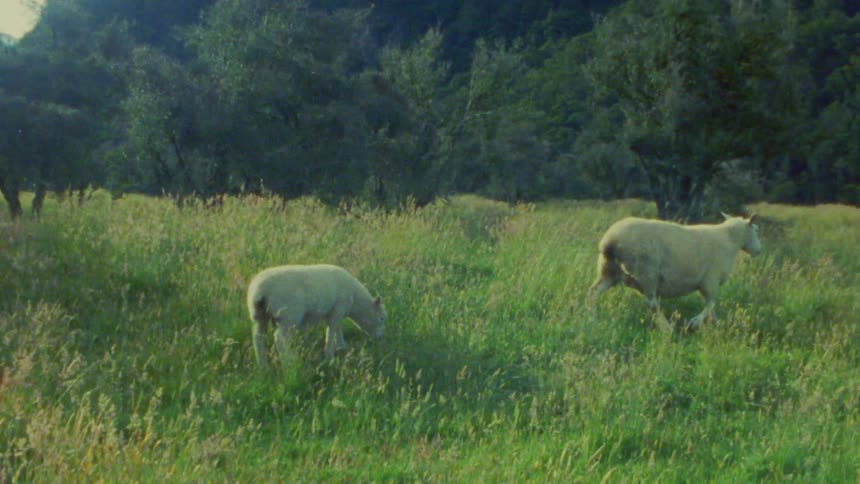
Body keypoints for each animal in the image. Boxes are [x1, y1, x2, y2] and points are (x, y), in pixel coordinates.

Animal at [247, 264, 386, 367]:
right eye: (381, 318)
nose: (380, 338)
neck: (356, 302)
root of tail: (260, 291)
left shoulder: (333, 312)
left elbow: (337, 329)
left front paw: (341, 347)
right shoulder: (338, 308)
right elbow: (332, 330)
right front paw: (329, 355)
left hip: (259, 316)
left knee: (258, 338)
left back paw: (263, 365)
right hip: (289, 315)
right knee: (280, 338)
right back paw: (290, 362)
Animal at [587, 213, 761, 332]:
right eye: (756, 230)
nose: (759, 251)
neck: (729, 240)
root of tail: (609, 241)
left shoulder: (707, 282)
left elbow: (712, 308)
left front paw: (715, 324)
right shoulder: (710, 280)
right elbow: (711, 303)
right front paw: (695, 322)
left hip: (609, 271)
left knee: (594, 292)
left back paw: (593, 319)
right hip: (646, 273)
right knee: (652, 304)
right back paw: (667, 328)